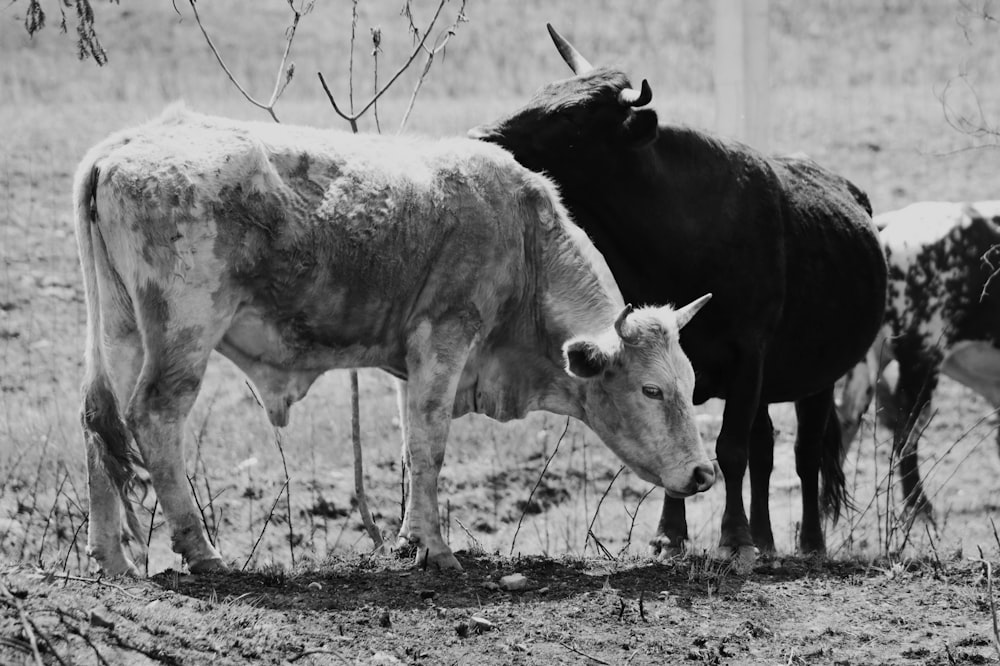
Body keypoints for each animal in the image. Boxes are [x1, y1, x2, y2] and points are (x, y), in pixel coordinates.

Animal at [468, 26, 884, 556]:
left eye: (571, 116)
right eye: (543, 92)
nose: (482, 137)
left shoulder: (750, 354)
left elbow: (730, 448)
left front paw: (733, 538)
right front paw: (672, 534)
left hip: (816, 377)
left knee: (804, 450)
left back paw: (808, 541)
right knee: (766, 446)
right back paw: (766, 539)